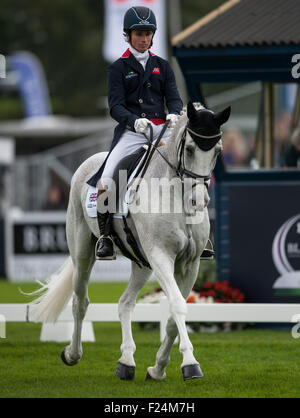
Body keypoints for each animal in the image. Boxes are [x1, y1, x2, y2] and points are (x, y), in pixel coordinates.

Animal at [29, 100, 230, 378]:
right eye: (189, 149)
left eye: (217, 152)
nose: (199, 202)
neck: (174, 195)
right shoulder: (161, 256)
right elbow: (177, 305)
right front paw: (190, 363)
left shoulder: (190, 264)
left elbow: (172, 314)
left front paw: (157, 368)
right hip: (83, 253)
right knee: (80, 302)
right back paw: (72, 354)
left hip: (142, 263)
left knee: (125, 302)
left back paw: (126, 361)